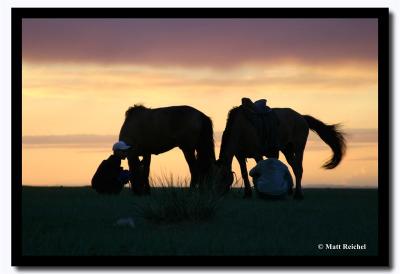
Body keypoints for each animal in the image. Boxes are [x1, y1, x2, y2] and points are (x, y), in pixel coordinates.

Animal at [217, 98, 346, 199]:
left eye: (222, 176)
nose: (219, 194)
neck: (241, 129)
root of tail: (301, 117)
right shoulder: (240, 156)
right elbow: (244, 173)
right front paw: (248, 194)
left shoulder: (257, 154)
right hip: (287, 150)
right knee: (294, 167)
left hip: (299, 148)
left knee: (299, 168)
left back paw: (299, 195)